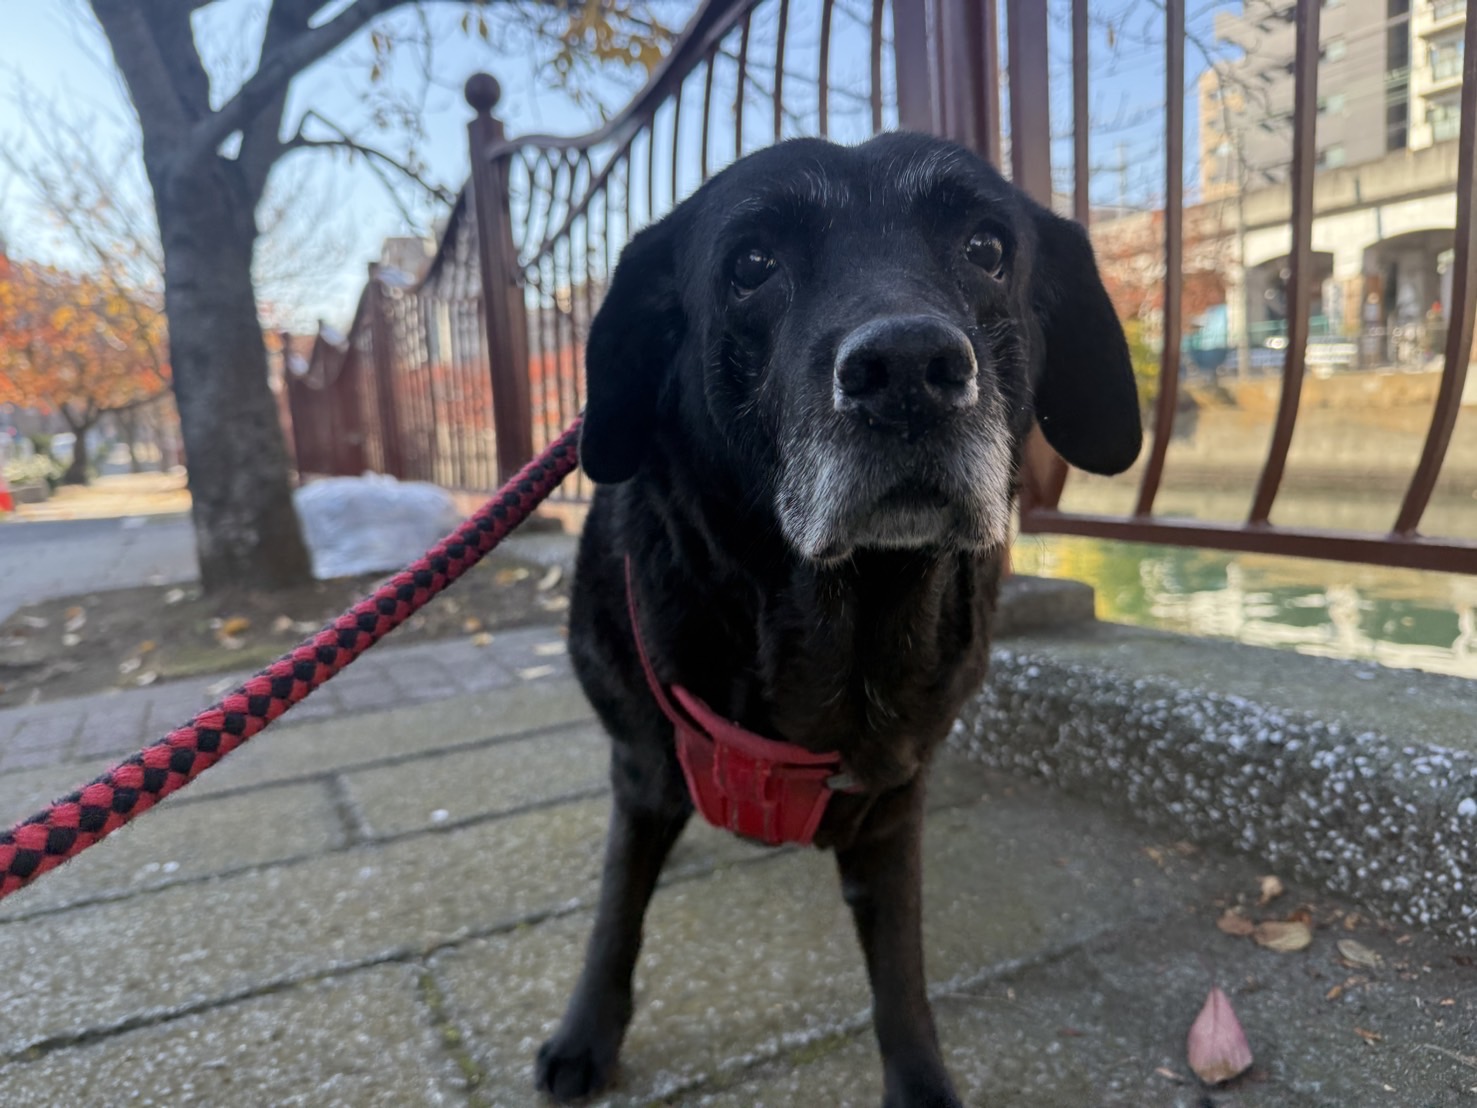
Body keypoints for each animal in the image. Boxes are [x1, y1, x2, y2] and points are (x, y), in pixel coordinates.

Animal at [534, 134, 1140, 1105]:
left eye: (985, 247)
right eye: (751, 264)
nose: (909, 369)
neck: (840, 627)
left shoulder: (891, 799)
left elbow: (899, 969)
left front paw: (922, 1085)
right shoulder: (641, 766)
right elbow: (616, 906)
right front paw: (585, 1033)